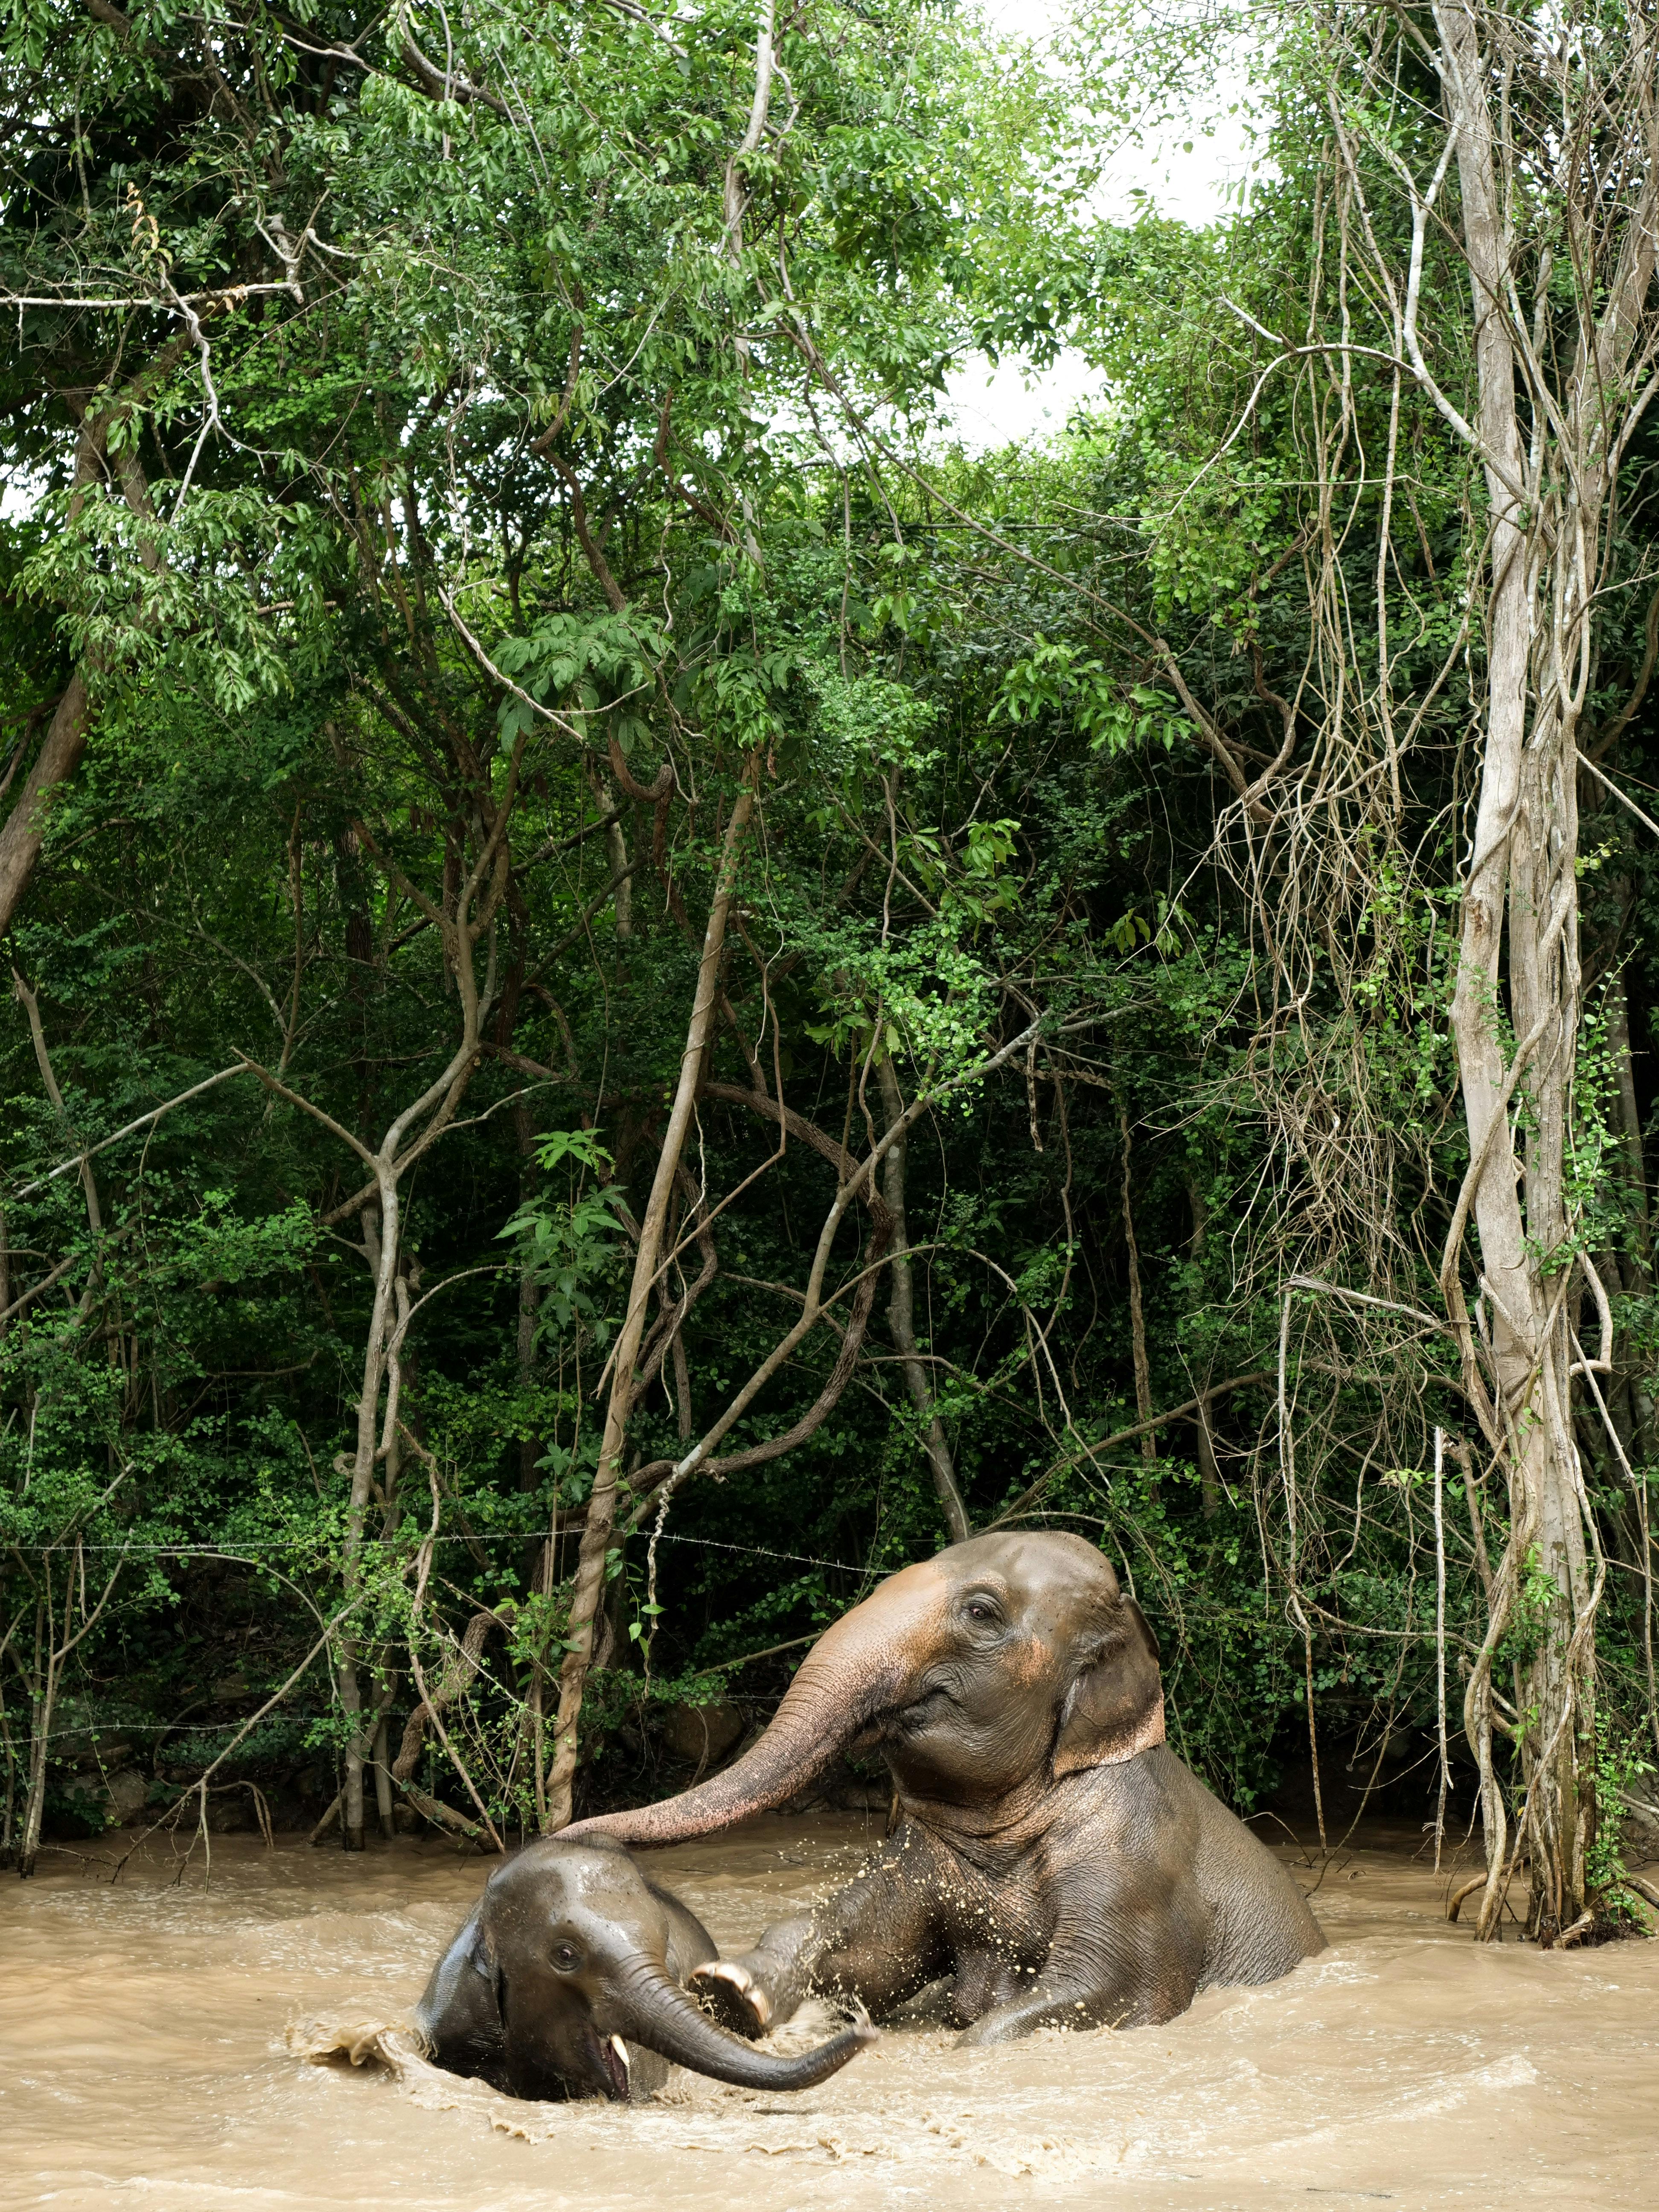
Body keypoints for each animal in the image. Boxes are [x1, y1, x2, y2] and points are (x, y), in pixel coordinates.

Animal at [567, 1532, 1325, 2040]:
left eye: (982, 1612)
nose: (573, 1835)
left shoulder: (1139, 1862)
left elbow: (1108, 1990)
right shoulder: (924, 1855)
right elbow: (868, 1950)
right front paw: (730, 1990)